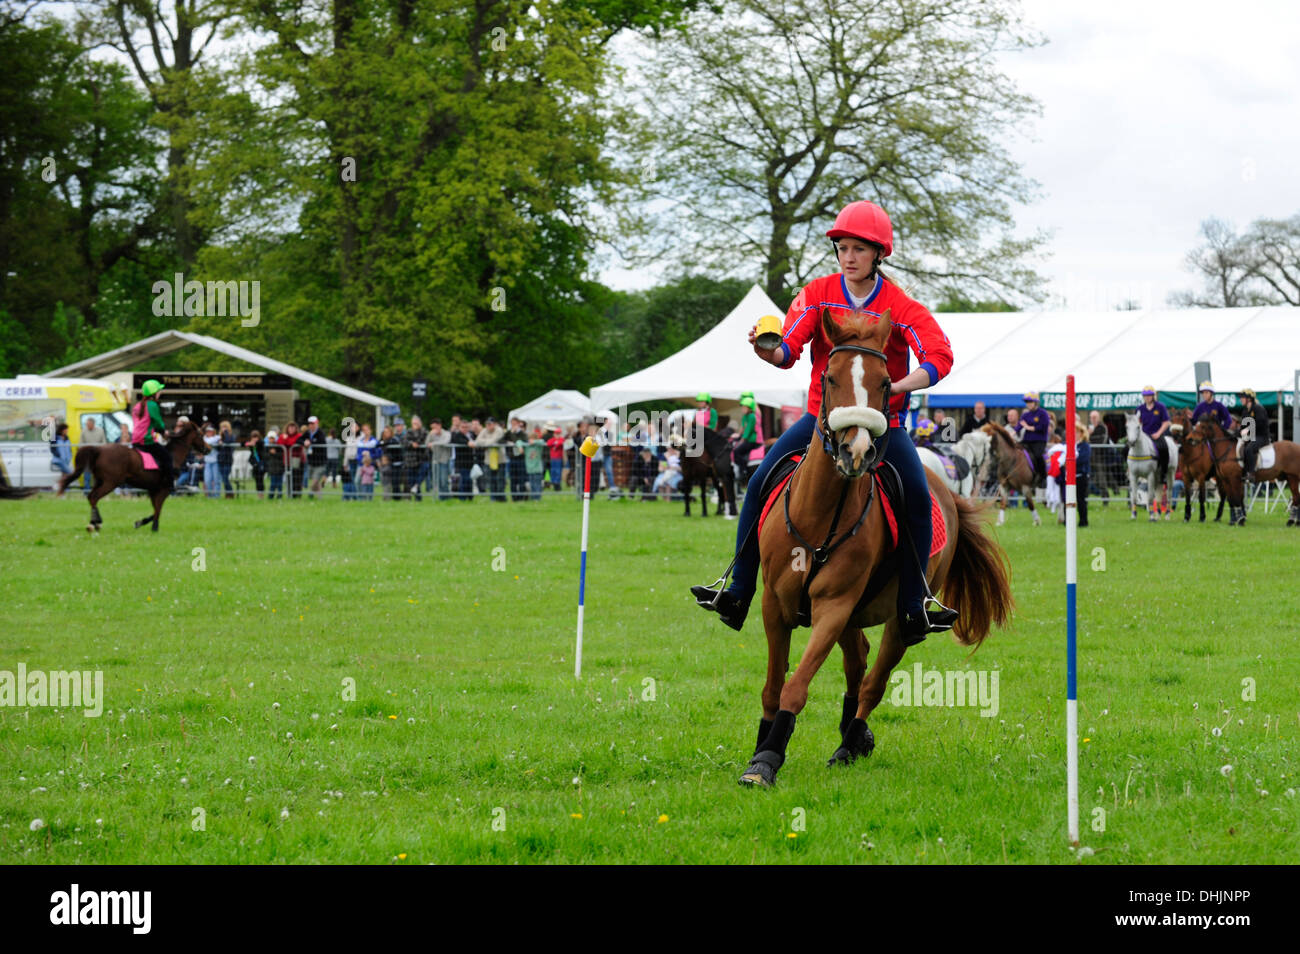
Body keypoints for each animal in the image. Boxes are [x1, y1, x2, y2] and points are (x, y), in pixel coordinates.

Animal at [56, 421, 209, 535]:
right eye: (201, 434)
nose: (208, 449)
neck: (172, 455)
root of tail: (99, 450)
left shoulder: (153, 490)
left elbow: (155, 509)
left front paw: (143, 523)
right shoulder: (164, 489)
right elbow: (158, 510)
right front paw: (151, 527)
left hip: (100, 481)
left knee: (90, 496)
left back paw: (94, 523)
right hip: (110, 483)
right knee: (94, 497)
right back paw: (95, 523)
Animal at [743, 310, 1013, 790]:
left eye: (887, 383)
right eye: (829, 377)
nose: (857, 450)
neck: (821, 514)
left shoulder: (834, 607)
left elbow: (797, 685)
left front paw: (770, 758)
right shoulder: (775, 604)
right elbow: (774, 686)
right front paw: (760, 753)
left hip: (898, 618)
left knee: (873, 680)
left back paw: (851, 742)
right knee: (858, 663)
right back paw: (854, 737)